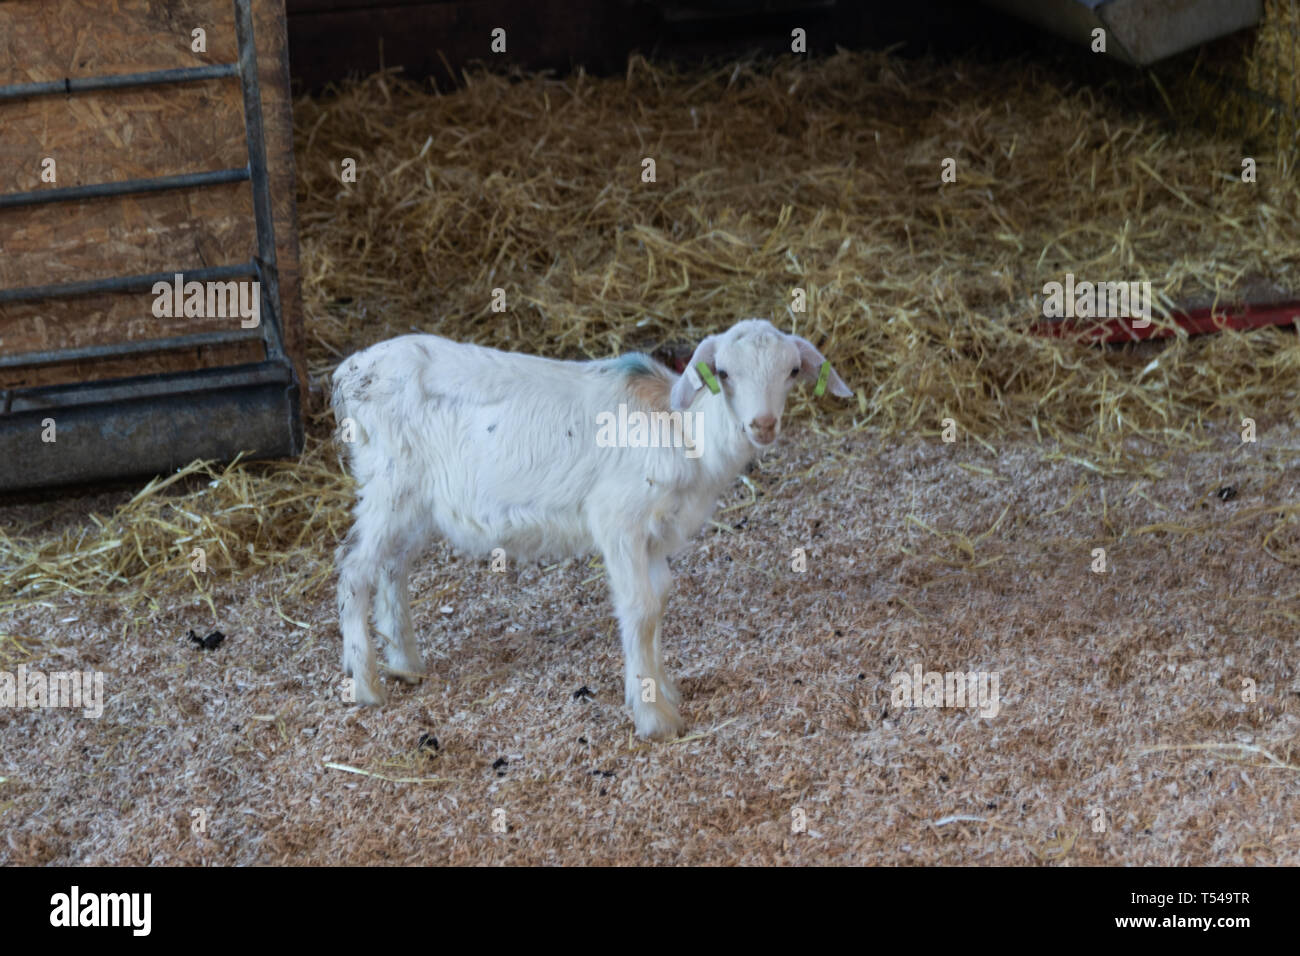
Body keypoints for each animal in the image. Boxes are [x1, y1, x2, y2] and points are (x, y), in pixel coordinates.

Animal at [332, 318, 852, 739]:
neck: (682, 431)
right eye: (723, 372)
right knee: (355, 571)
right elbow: (640, 609)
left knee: (393, 567)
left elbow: (659, 601)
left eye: (792, 371)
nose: (762, 425)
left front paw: (661, 690)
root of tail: (352, 370)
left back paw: (405, 665)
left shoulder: (654, 536)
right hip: (389, 484)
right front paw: (654, 719)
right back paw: (367, 685)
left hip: (417, 502)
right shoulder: (618, 520)